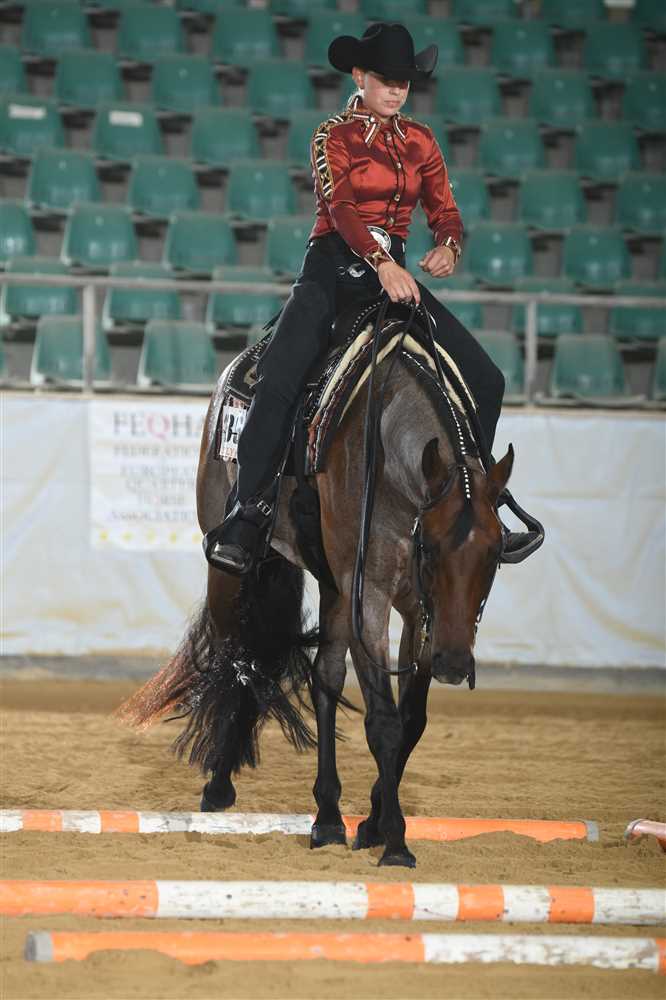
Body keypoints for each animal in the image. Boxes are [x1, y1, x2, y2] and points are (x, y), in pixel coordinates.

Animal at [119, 307, 514, 869]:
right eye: (432, 548)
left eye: (495, 553)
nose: (457, 665)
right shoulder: (370, 596)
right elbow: (383, 719)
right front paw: (396, 840)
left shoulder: (419, 611)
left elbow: (410, 718)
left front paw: (369, 822)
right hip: (232, 567)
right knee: (235, 657)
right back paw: (219, 784)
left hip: (333, 583)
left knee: (324, 676)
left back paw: (328, 817)